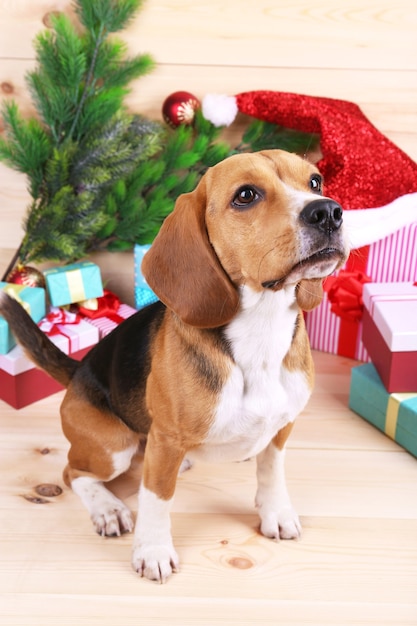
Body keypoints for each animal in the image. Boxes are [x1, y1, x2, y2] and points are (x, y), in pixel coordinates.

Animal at [0, 150, 348, 580]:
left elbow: (272, 471)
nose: (329, 212)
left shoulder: (282, 427)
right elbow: (157, 499)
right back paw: (107, 508)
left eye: (315, 182)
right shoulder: (165, 442)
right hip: (113, 447)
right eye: (246, 195)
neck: (260, 334)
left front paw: (276, 512)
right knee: (73, 473)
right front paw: (153, 550)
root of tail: (78, 371)